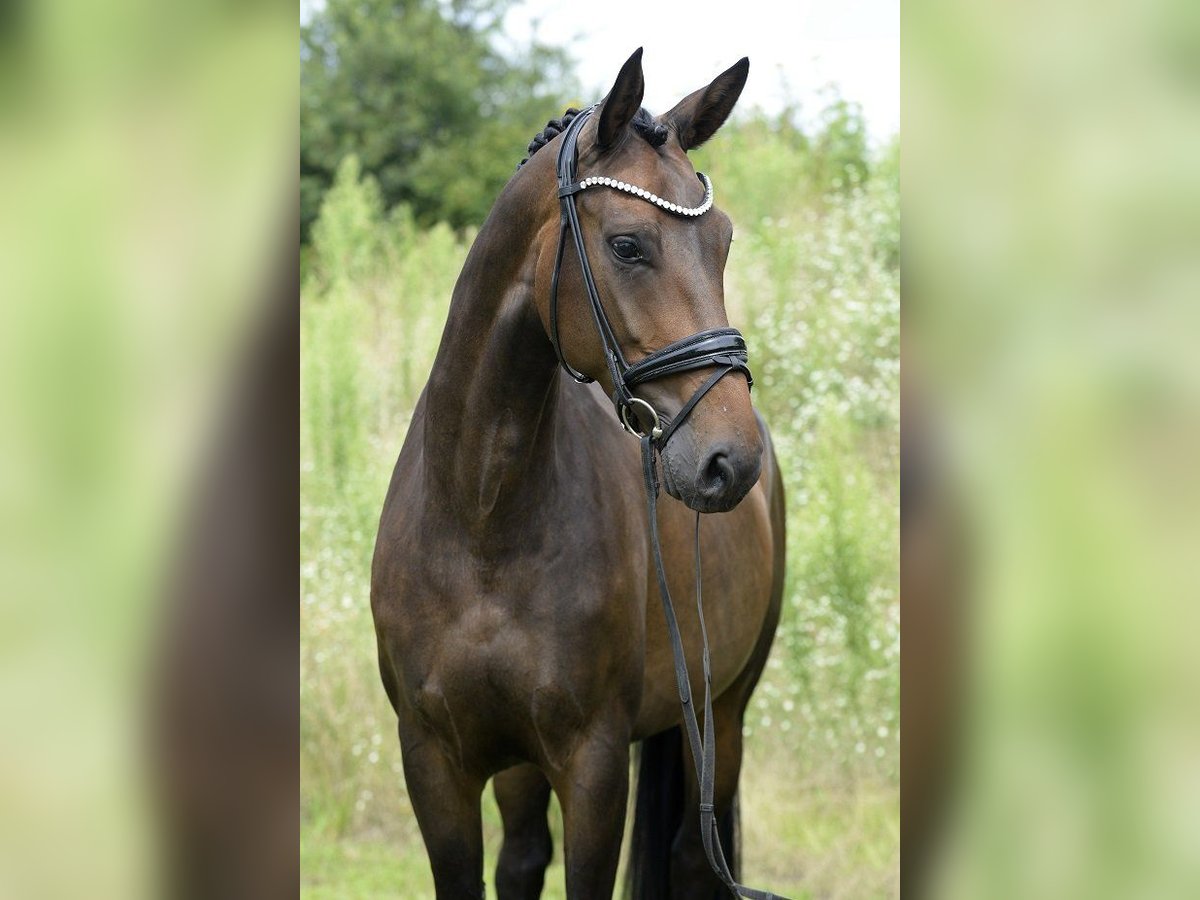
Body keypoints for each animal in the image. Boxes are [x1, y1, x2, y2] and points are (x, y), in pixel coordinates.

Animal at [374, 49, 787, 900]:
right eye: (627, 245)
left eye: (723, 241)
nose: (731, 461)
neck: (482, 521)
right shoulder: (434, 763)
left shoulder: (594, 767)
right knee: (525, 856)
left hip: (722, 713)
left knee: (693, 858)